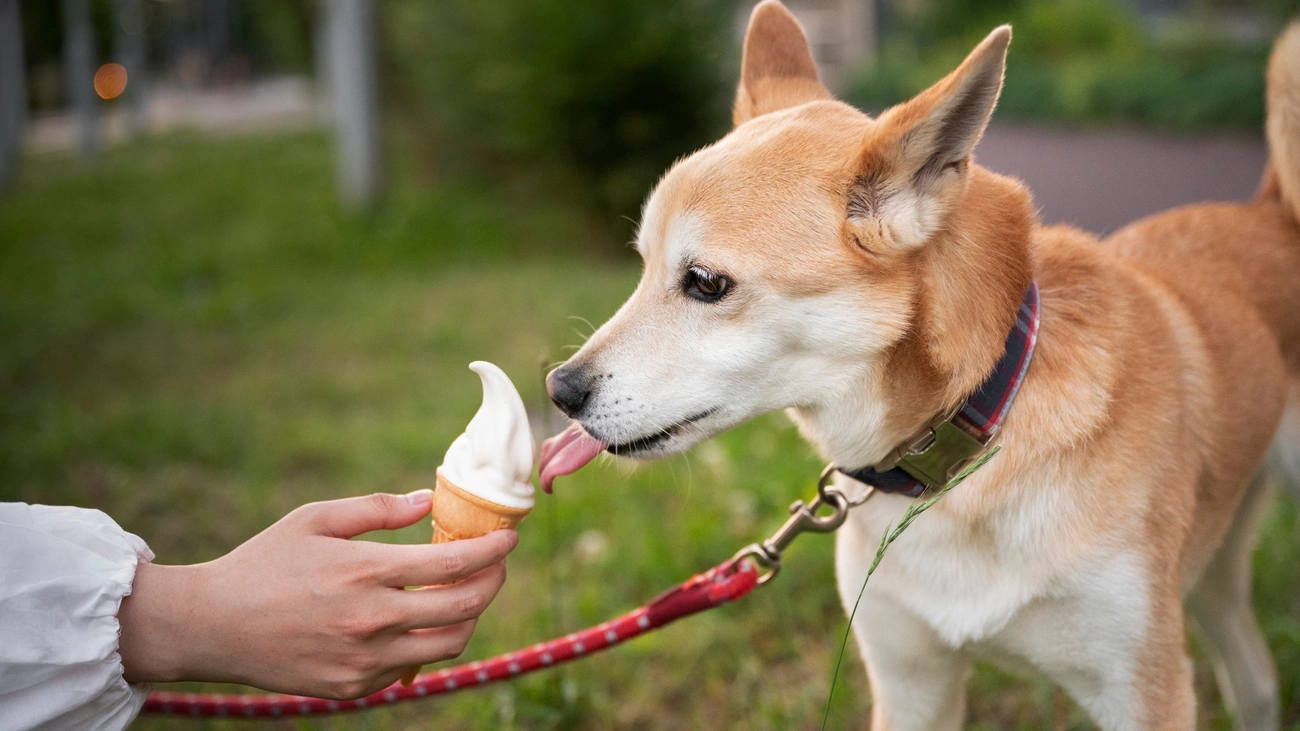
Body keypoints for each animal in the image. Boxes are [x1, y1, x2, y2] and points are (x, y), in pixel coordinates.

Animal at [535, 2, 1300, 723]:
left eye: (703, 282)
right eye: (642, 265)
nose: (559, 390)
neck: (976, 432)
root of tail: (1271, 211)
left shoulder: (1140, 688)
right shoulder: (910, 686)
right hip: (1212, 570)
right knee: (1257, 679)